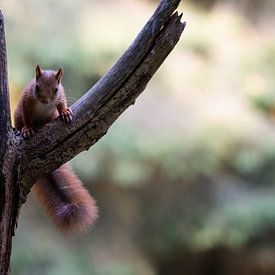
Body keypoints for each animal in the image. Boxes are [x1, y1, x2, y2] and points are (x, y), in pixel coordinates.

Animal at [14, 65, 98, 233]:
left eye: (56, 89)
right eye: (37, 87)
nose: (45, 100)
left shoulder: (61, 97)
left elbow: (61, 104)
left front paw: (65, 112)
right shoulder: (27, 101)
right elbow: (27, 117)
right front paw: (27, 129)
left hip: (49, 116)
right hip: (18, 114)